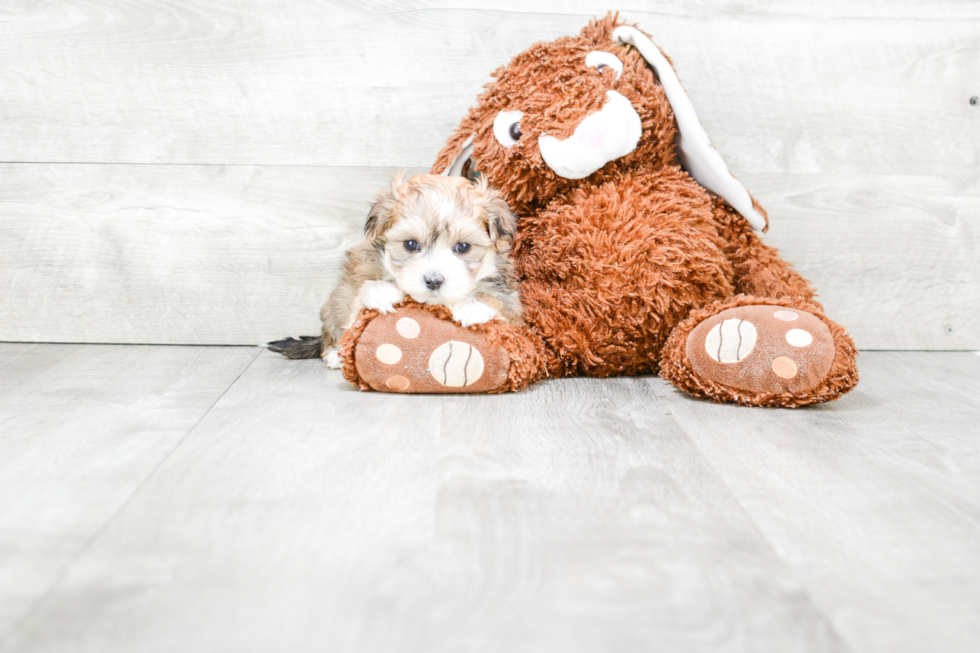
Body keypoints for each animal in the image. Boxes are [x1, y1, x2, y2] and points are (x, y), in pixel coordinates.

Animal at [268, 173, 524, 366]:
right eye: (410, 244)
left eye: (463, 247)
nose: (433, 280)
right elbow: (361, 299)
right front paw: (382, 291)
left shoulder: (512, 302)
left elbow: (496, 298)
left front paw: (473, 306)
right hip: (335, 303)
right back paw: (334, 354)